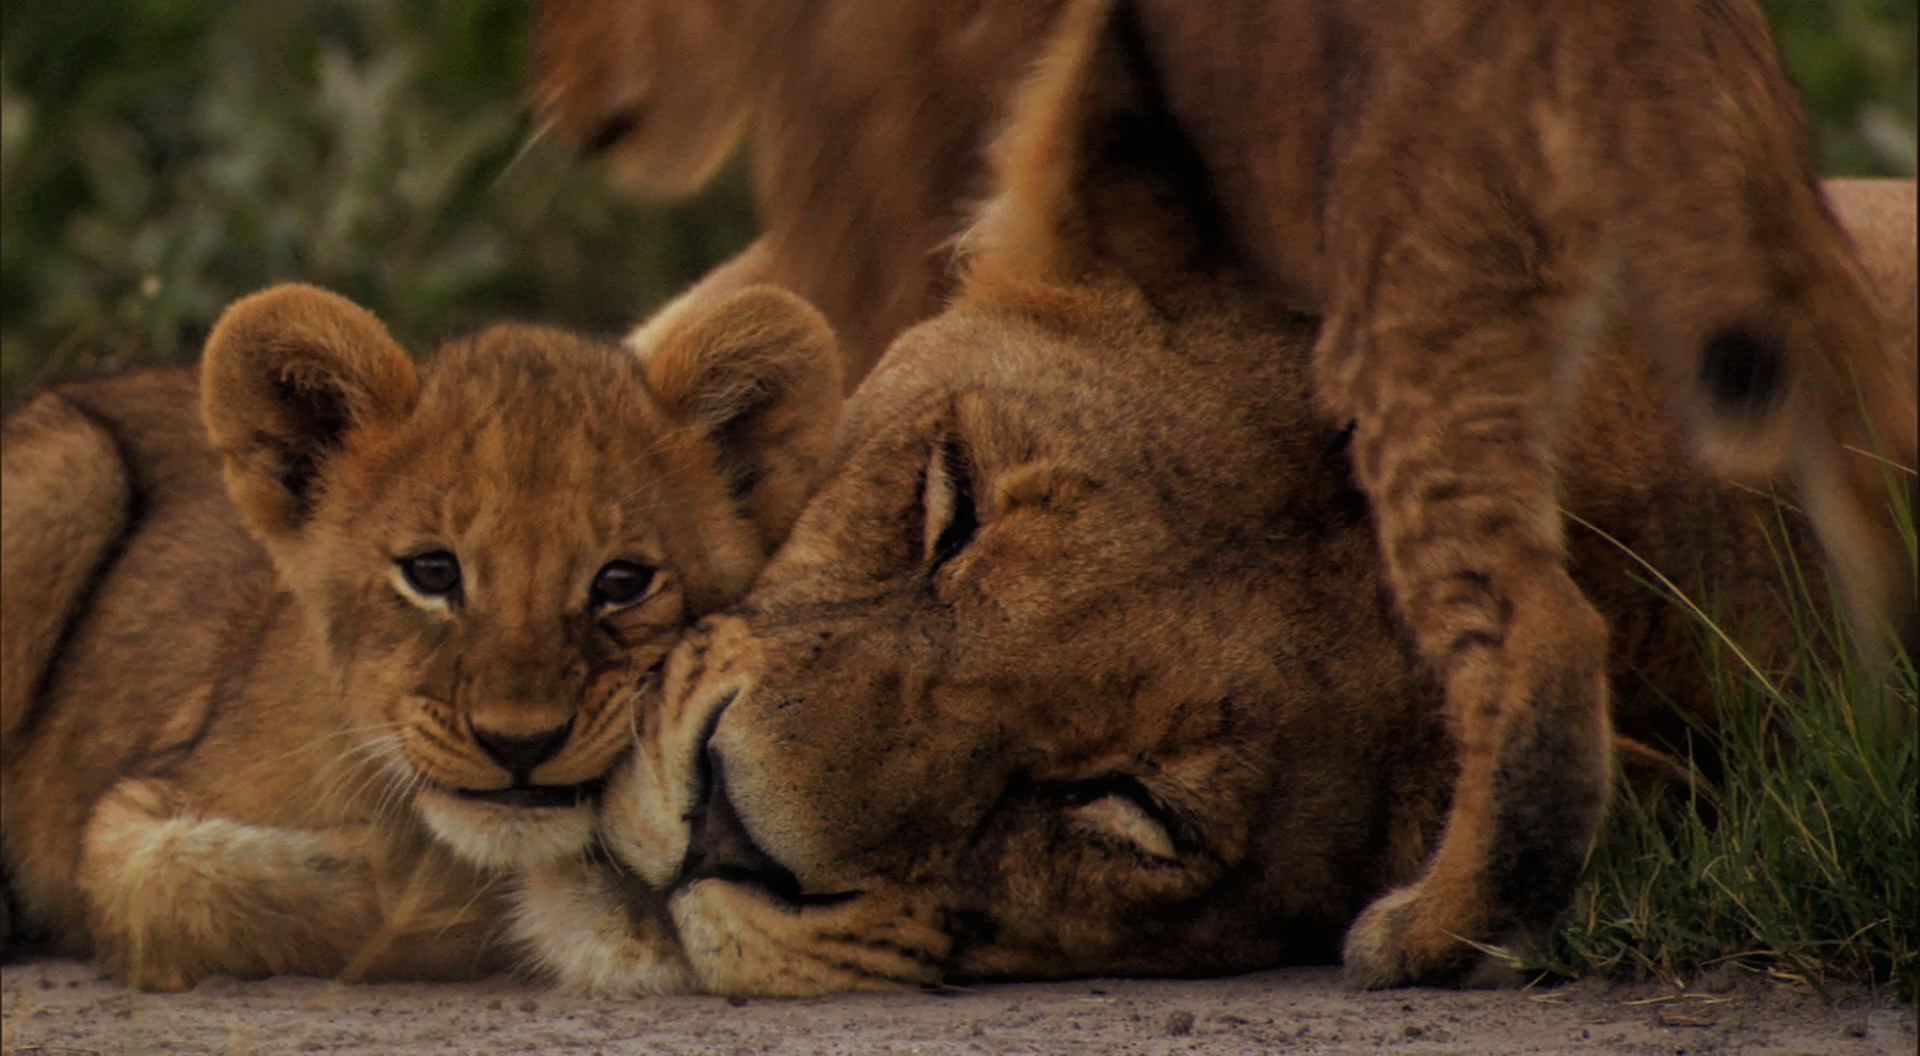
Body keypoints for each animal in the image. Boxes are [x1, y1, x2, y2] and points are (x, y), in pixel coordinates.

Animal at [0, 282, 839, 989]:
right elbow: (195, 882)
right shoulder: (129, 814)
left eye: (623, 582)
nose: (520, 743)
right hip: (71, 465)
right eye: (432, 572)